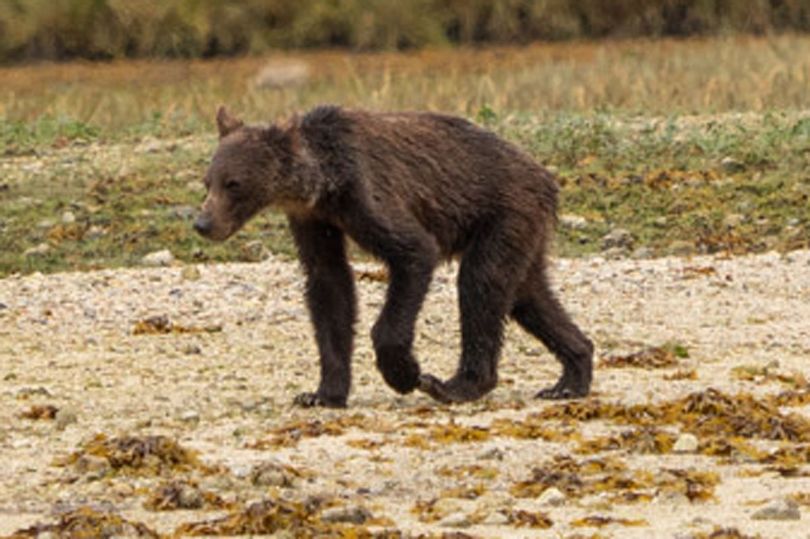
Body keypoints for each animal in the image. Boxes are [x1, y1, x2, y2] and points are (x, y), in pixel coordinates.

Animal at [193, 105, 592, 408]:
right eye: (207, 181)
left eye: (233, 183)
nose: (202, 222)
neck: (324, 184)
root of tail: (546, 177)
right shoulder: (313, 219)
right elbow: (329, 286)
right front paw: (321, 393)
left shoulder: (367, 194)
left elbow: (414, 252)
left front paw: (404, 372)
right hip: (522, 230)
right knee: (527, 295)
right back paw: (571, 377)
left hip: (504, 212)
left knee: (481, 282)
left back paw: (454, 385)